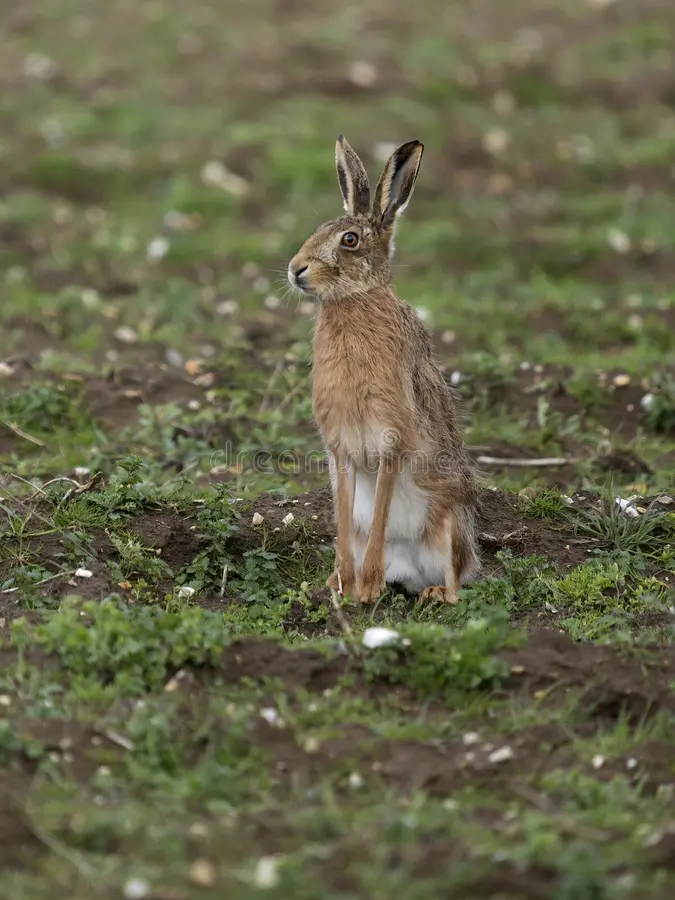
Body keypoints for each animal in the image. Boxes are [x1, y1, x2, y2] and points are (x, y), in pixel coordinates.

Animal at [287, 135, 479, 605]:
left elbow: (380, 515)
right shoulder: (340, 448)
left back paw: (432, 592)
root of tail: (414, 573)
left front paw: (368, 589)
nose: (296, 269)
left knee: (458, 580)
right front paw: (345, 584)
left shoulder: (390, 439)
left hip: (450, 523)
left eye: (349, 239)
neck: (355, 298)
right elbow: (345, 521)